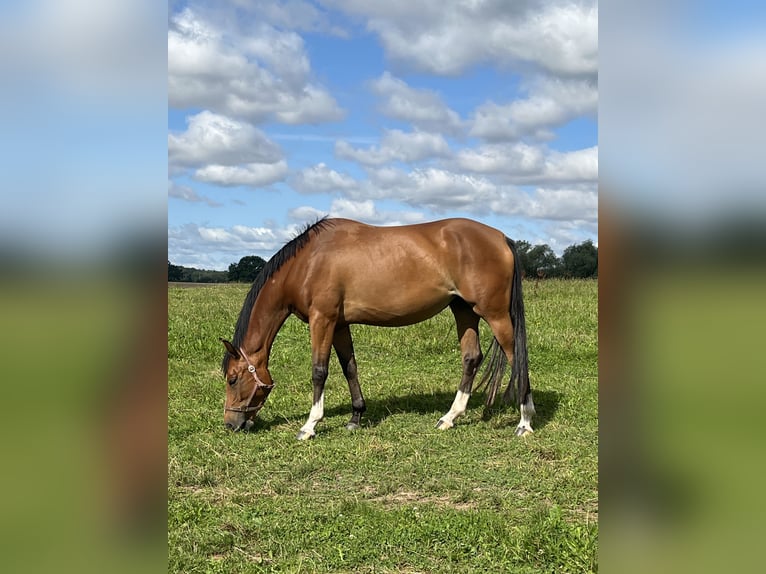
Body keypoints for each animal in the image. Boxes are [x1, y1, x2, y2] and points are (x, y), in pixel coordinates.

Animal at [222, 217, 536, 440]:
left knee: (516, 357)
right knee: (471, 358)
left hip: (494, 314)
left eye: (232, 379)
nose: (230, 424)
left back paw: (525, 421)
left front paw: (310, 425)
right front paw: (355, 418)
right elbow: (349, 367)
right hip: (464, 310)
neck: (308, 262)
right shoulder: (339, 324)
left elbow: (319, 371)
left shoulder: (322, 319)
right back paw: (450, 417)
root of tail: (501, 238)